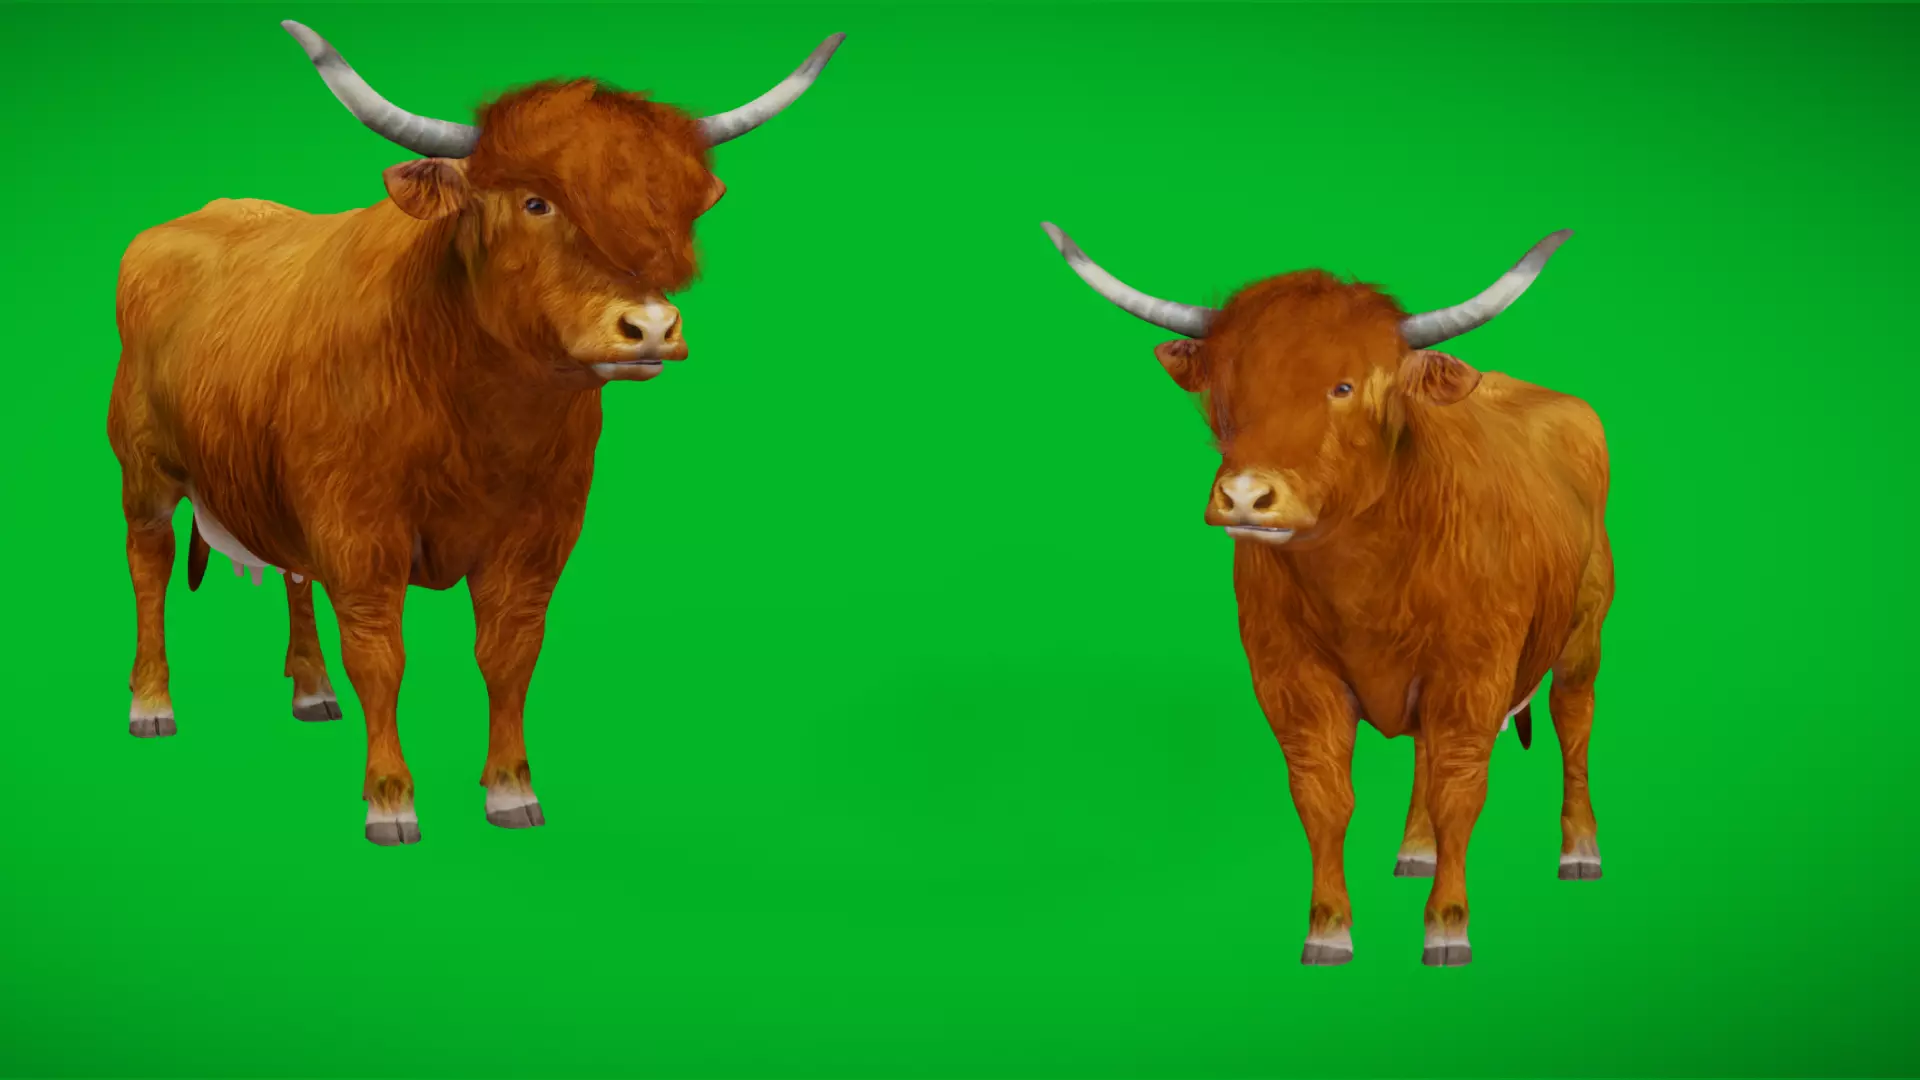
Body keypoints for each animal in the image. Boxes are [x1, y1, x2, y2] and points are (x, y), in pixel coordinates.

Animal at [108, 20, 846, 845]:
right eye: (536, 201)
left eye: (679, 216)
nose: (652, 327)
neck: (484, 418)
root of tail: (200, 216)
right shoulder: (359, 531)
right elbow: (379, 654)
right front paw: (390, 798)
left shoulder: (538, 535)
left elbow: (509, 653)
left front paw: (512, 790)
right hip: (144, 469)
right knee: (149, 567)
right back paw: (152, 704)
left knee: (293, 576)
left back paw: (312, 691)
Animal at [1038, 222, 1611, 966]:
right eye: (1225, 387)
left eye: (1343, 385)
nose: (1245, 496)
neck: (1363, 582)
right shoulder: (1290, 676)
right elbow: (1323, 794)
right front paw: (1329, 927)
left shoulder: (1472, 672)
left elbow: (1460, 787)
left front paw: (1447, 925)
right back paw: (1416, 851)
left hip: (1582, 633)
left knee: (1574, 724)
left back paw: (1579, 851)